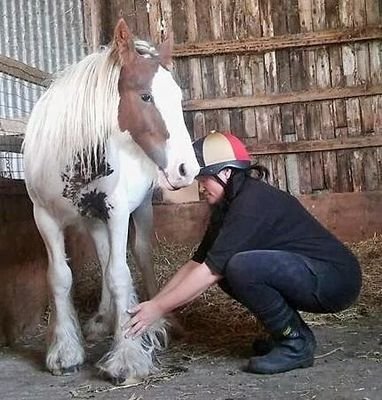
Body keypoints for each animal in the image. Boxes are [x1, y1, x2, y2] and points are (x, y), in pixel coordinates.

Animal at [22, 19, 200, 384]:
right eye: (146, 96)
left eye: (178, 98)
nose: (187, 169)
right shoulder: (45, 218)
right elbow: (60, 276)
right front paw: (65, 352)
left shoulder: (118, 213)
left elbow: (120, 274)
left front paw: (127, 358)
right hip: (93, 217)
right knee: (104, 257)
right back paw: (103, 320)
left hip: (139, 210)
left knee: (140, 255)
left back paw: (160, 321)